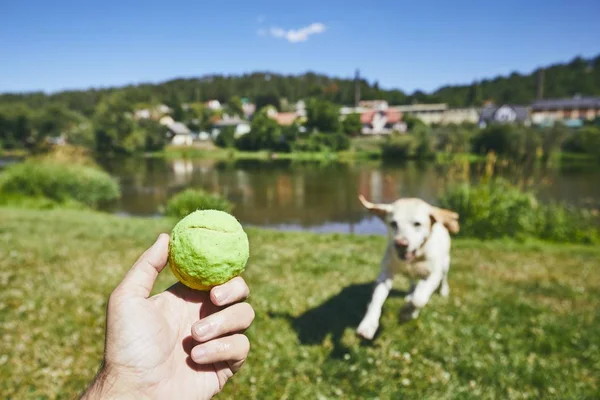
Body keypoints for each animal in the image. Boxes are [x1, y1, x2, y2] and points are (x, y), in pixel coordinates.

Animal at [356, 195, 460, 340]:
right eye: (393, 223)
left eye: (417, 224)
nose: (401, 244)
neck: (414, 258)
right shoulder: (386, 274)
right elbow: (376, 299)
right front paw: (368, 325)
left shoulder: (433, 275)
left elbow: (419, 299)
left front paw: (407, 313)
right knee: (412, 282)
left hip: (445, 263)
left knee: (442, 279)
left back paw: (442, 291)